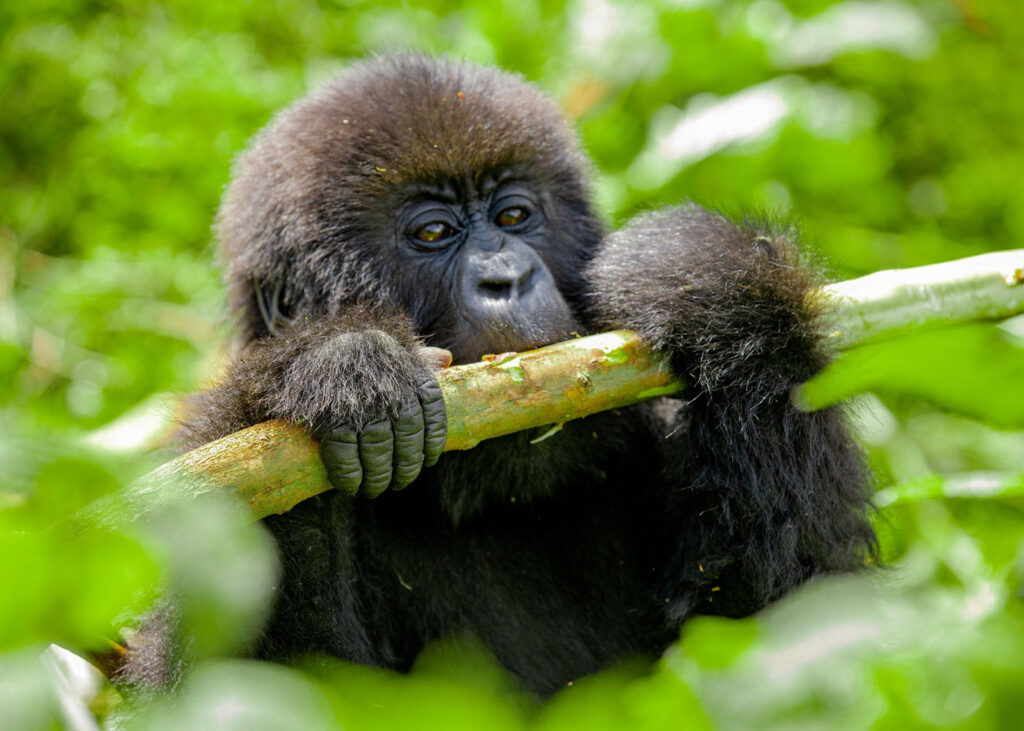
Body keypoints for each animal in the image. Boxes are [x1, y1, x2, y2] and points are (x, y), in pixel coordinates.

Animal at [125, 54, 872, 692]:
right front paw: (327, 363)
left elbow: (793, 625)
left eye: (514, 215)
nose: (507, 277)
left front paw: (714, 285)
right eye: (432, 234)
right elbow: (264, 688)